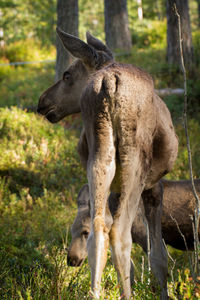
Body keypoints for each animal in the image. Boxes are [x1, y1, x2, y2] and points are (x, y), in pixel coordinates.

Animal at [37, 28, 178, 300]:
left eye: (67, 75)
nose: (42, 102)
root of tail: (108, 82)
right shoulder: (154, 187)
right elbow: (158, 255)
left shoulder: (115, 187)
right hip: (135, 162)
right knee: (120, 234)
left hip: (100, 158)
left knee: (98, 229)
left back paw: (95, 292)